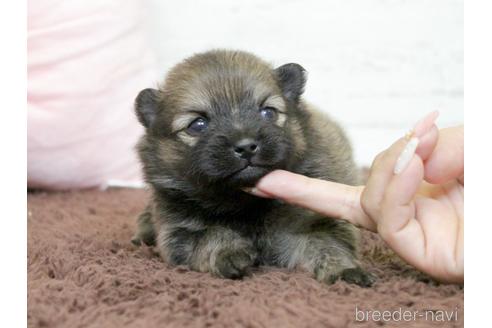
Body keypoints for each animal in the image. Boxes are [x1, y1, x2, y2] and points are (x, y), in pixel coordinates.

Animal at [131, 49, 372, 288]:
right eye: (197, 125)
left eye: (268, 112)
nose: (246, 146)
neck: (245, 204)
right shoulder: (179, 232)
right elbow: (210, 235)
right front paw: (230, 252)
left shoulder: (310, 224)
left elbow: (326, 245)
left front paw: (344, 270)